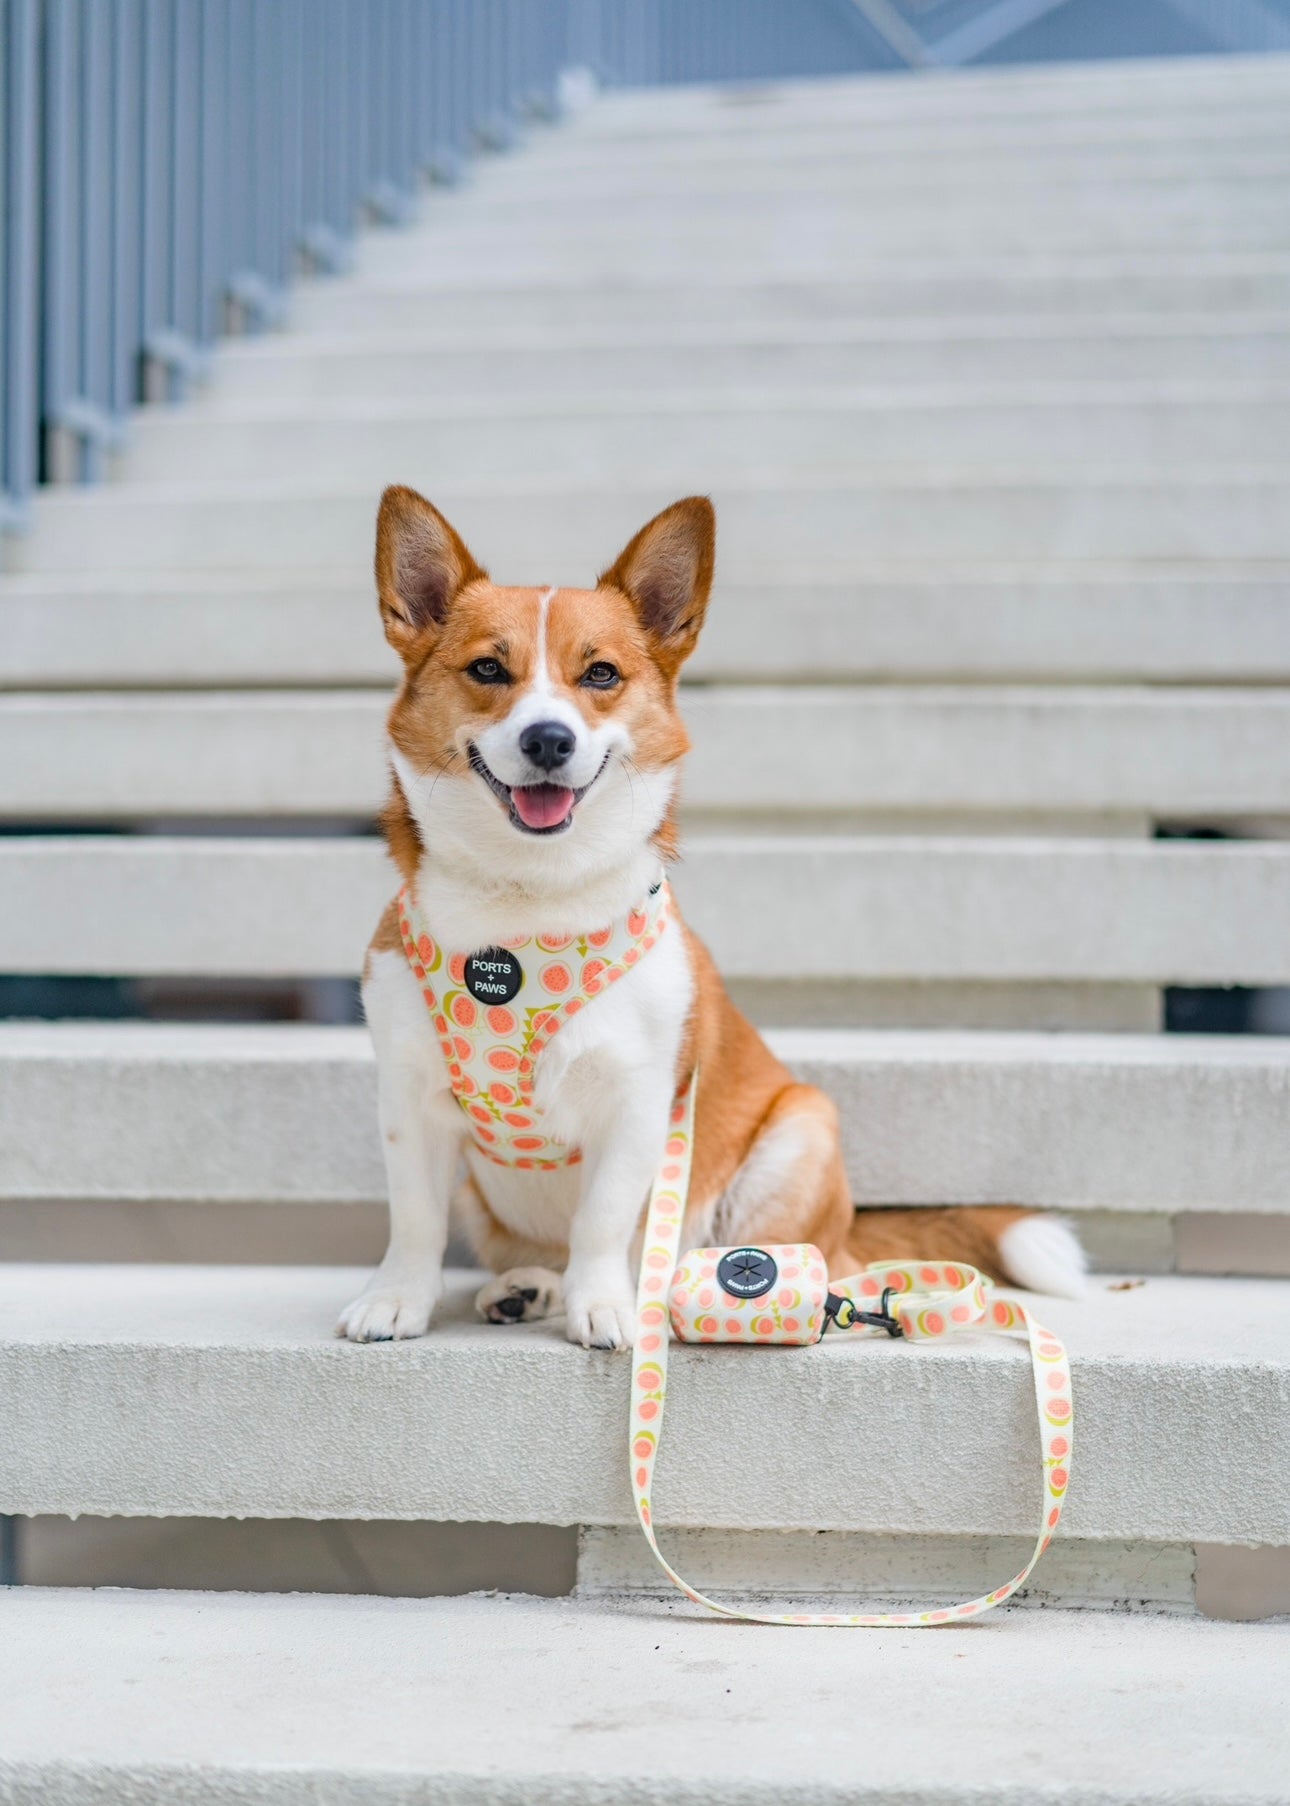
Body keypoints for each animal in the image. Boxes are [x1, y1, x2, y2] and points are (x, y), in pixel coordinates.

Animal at [336, 487, 1076, 1350]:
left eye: (601, 674)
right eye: (489, 668)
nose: (549, 739)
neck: (524, 903)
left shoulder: (639, 1103)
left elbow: (601, 1222)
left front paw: (603, 1305)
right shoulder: (409, 1100)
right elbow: (414, 1220)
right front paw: (398, 1300)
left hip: (800, 1132)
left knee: (808, 1264)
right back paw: (529, 1287)